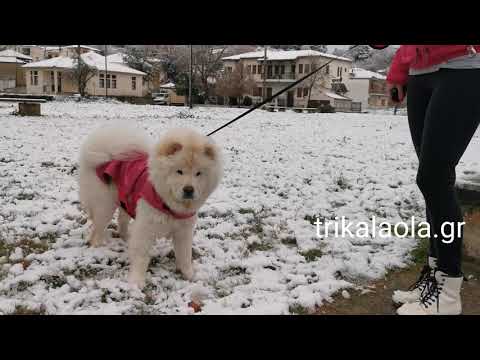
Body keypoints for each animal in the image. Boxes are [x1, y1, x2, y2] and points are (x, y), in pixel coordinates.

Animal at [77, 125, 223, 288]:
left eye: (198, 173)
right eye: (179, 171)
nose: (189, 189)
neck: (169, 204)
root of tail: (102, 154)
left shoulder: (183, 231)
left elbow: (185, 255)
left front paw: (190, 275)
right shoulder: (145, 228)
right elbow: (141, 256)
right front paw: (136, 282)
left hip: (125, 200)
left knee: (122, 220)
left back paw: (126, 237)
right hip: (105, 206)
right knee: (97, 229)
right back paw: (98, 246)